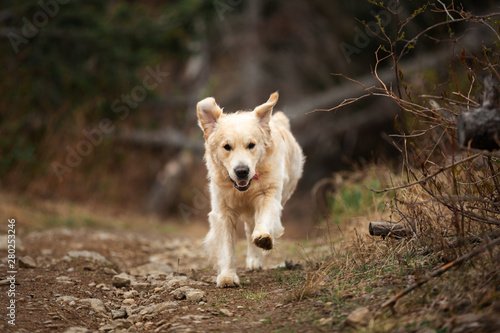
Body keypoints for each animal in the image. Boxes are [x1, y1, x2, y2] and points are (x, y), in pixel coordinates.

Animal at [197, 92, 302, 286]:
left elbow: (264, 219)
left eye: (251, 145)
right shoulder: (223, 211)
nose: (242, 171)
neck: (243, 190)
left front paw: (263, 238)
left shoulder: (269, 195)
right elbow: (226, 246)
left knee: (253, 226)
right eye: (227, 147)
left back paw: (255, 258)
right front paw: (228, 276)